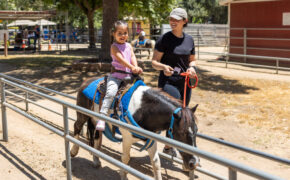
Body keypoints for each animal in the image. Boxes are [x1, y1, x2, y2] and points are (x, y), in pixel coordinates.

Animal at [69, 76, 199, 179]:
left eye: (196, 130)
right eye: (181, 132)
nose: (194, 163)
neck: (143, 110)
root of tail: (86, 81)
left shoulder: (151, 140)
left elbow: (156, 163)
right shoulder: (127, 138)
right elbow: (125, 158)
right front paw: (123, 175)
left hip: (96, 121)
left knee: (96, 137)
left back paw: (96, 161)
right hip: (82, 114)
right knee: (77, 126)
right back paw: (73, 151)